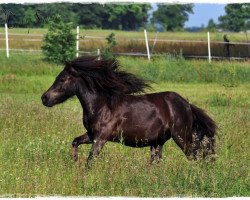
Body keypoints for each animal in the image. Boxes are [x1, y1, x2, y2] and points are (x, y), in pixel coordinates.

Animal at [41, 56, 217, 166]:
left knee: (195, 155)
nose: (44, 98)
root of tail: (187, 105)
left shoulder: (101, 138)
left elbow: (91, 160)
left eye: (62, 79)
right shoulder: (91, 135)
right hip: (157, 142)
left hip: (182, 137)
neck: (101, 105)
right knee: (157, 163)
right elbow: (75, 142)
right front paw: (74, 161)